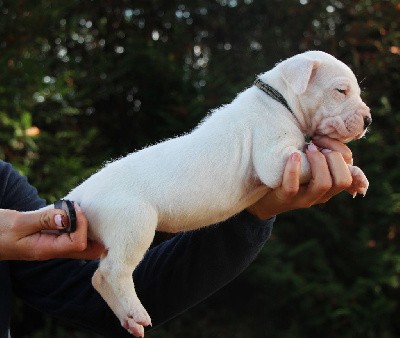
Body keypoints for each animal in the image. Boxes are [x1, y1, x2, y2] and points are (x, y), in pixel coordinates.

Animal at [54, 50, 374, 336]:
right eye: (341, 91)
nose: (369, 120)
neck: (279, 100)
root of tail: (80, 195)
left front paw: (357, 177)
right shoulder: (277, 159)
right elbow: (315, 155)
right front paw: (347, 167)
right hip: (133, 225)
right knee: (109, 272)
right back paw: (135, 313)